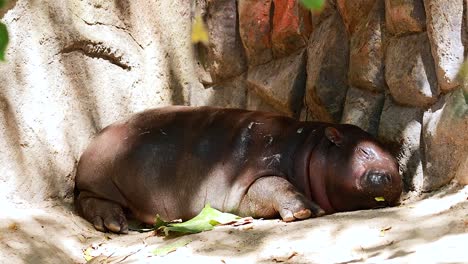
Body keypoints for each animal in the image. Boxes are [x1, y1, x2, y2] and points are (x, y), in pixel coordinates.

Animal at [76, 105, 402, 233]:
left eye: (392, 151)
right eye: (363, 151)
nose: (391, 175)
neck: (310, 150)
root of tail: (93, 139)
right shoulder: (253, 177)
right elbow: (275, 185)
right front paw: (306, 210)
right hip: (100, 181)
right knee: (89, 201)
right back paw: (114, 224)